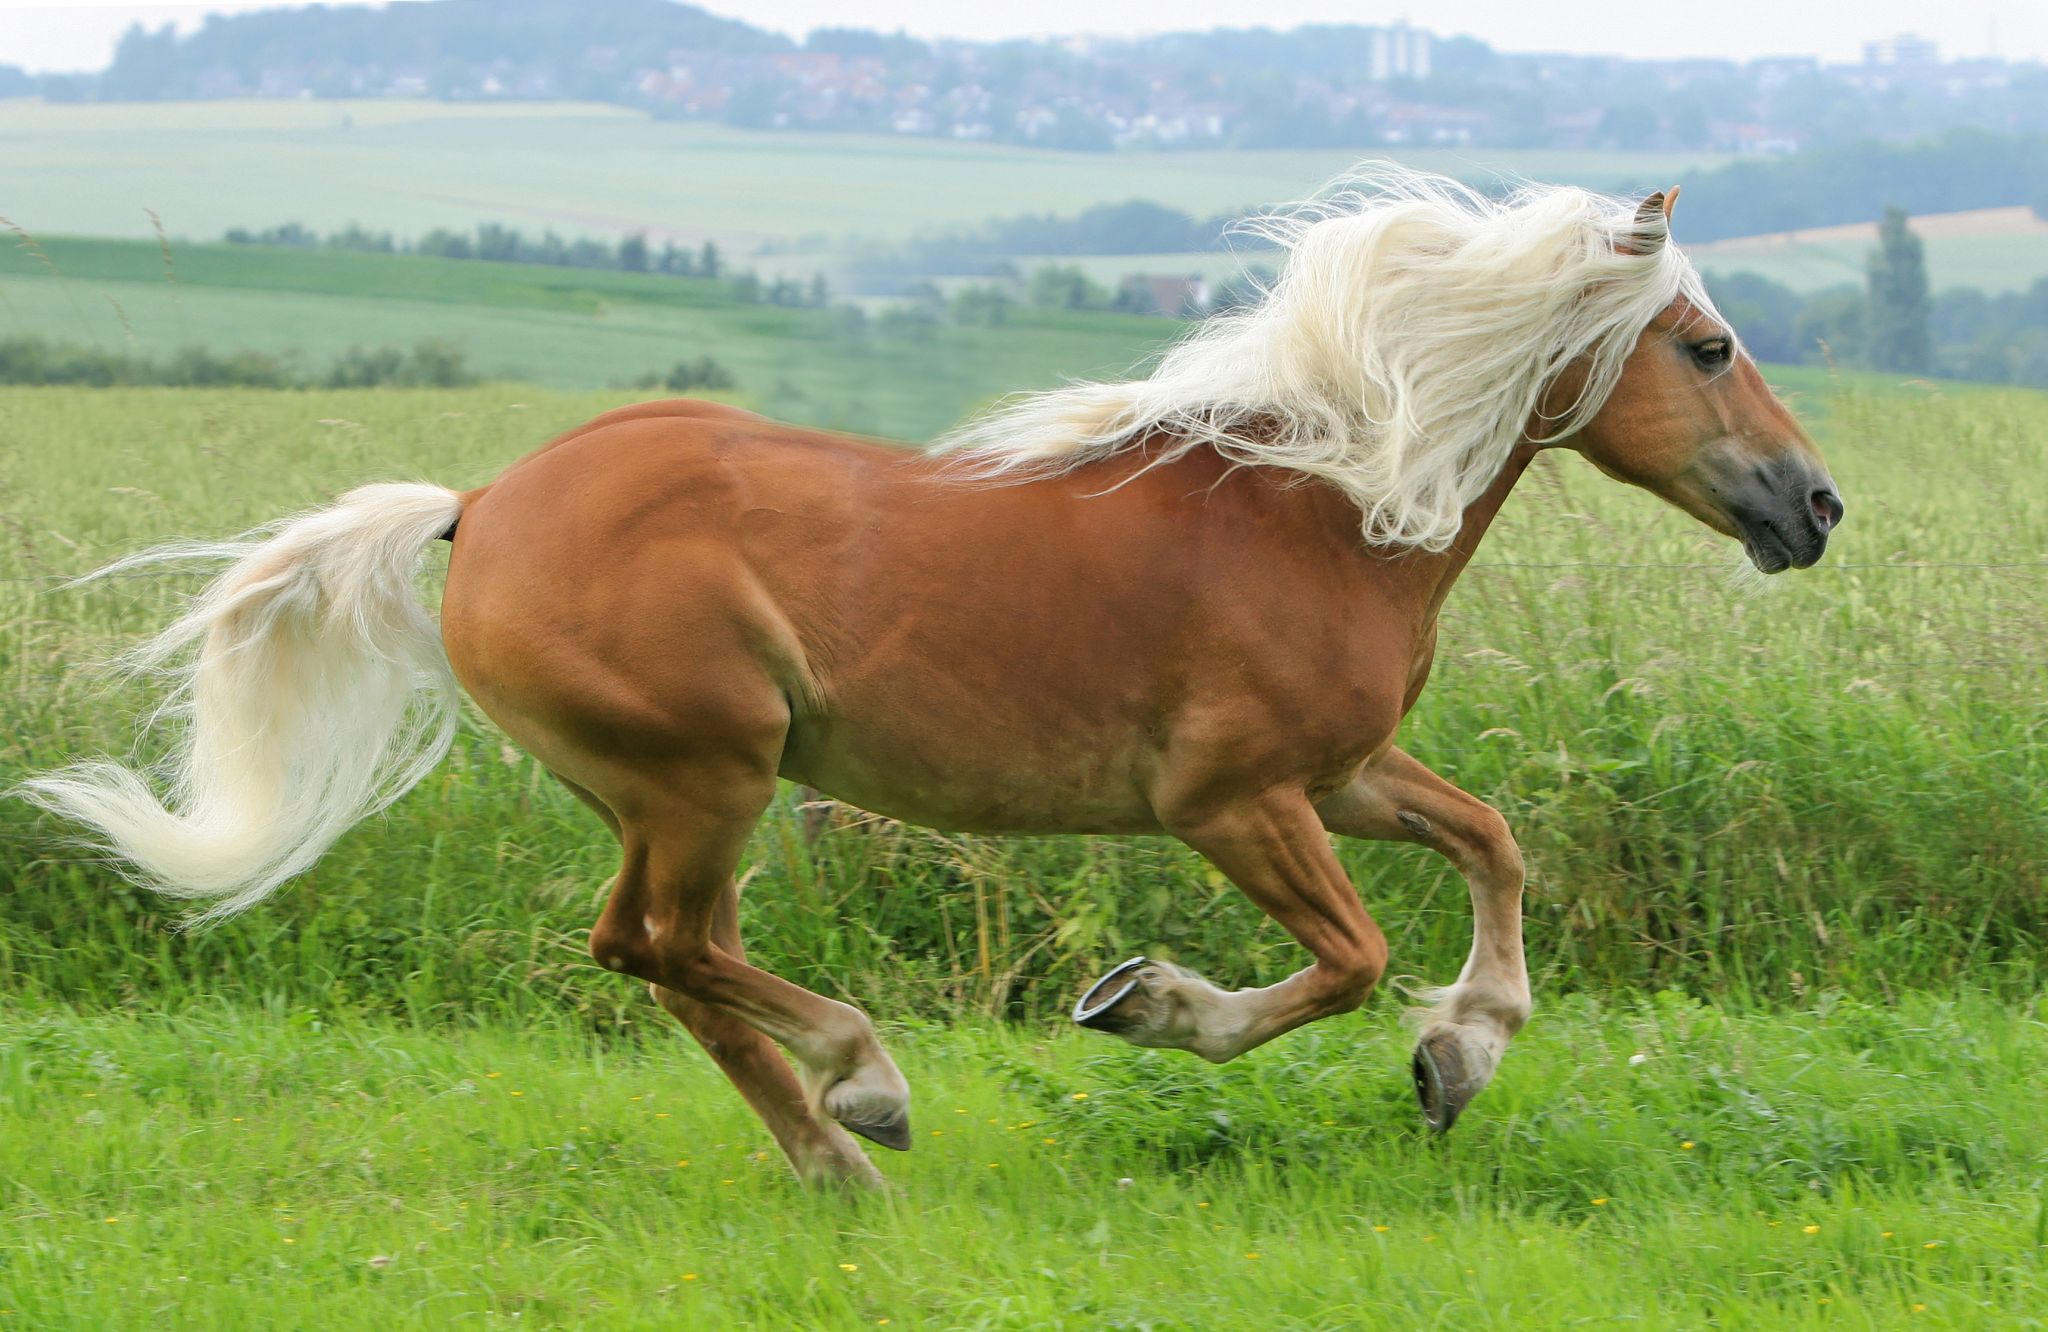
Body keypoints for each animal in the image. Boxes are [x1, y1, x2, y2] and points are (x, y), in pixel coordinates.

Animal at [23, 169, 1842, 1189]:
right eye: (1705, 347)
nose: (1813, 507)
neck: (1316, 505)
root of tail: (479, 506)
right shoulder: (1230, 800)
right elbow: (1344, 961)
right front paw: (1145, 1001)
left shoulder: (1340, 774)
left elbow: (1491, 846)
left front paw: (1459, 1058)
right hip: (708, 768)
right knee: (662, 945)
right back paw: (867, 1086)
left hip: (674, 791)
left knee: (662, 953)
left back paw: (837, 1152)